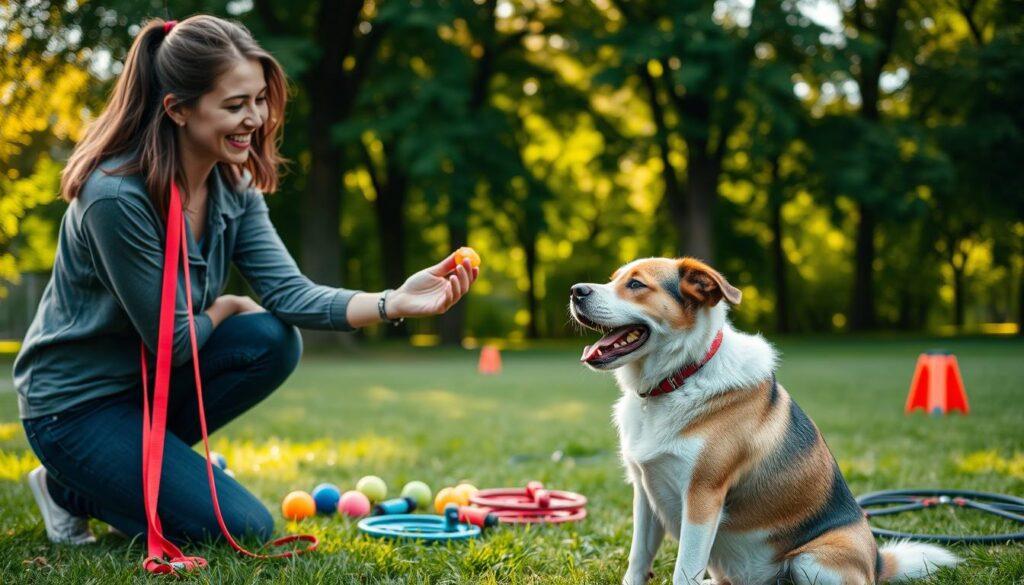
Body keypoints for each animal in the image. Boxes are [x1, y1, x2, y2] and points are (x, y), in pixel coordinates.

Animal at [573, 257, 954, 585]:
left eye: (636, 284)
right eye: (613, 279)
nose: (576, 290)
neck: (681, 376)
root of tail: (876, 564)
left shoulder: (702, 497)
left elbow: (684, 570)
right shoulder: (645, 491)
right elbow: (638, 560)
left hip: (811, 561)